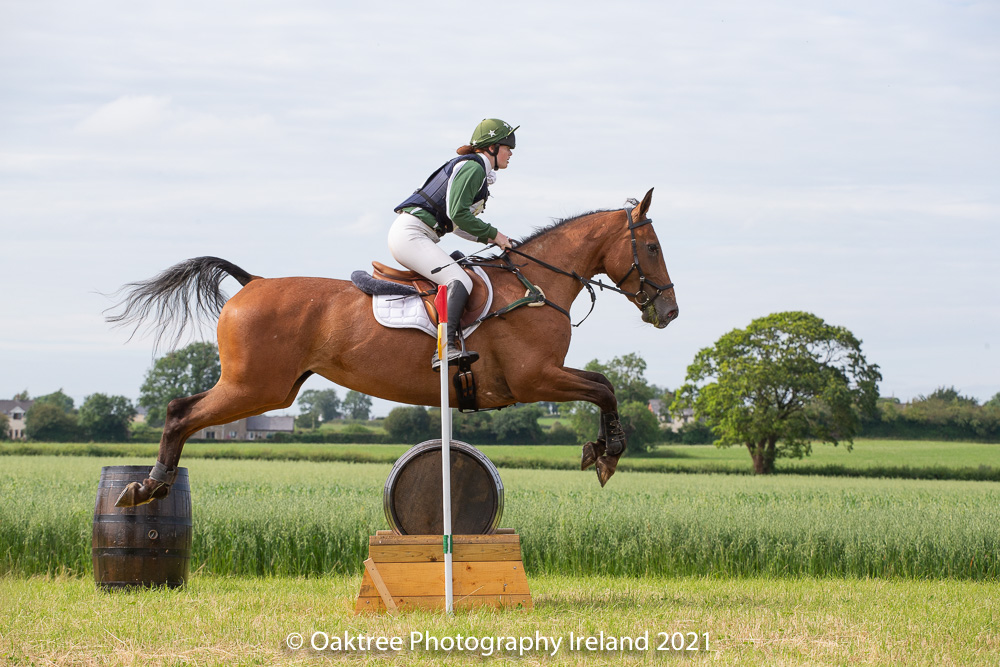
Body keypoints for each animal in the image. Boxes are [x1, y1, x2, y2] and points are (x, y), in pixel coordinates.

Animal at [109, 188, 678, 507]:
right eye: (652, 248)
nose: (668, 312)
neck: (536, 285)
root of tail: (253, 282)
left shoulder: (543, 377)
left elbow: (602, 385)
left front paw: (602, 449)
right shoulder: (534, 378)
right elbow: (604, 388)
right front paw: (608, 454)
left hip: (268, 389)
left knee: (182, 409)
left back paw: (150, 486)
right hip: (255, 387)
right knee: (181, 412)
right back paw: (148, 487)